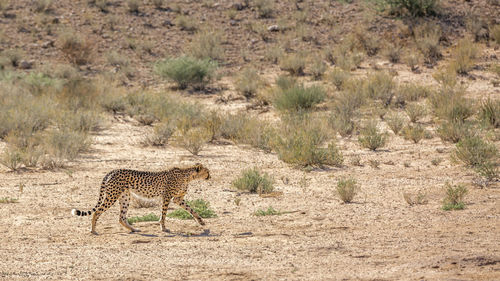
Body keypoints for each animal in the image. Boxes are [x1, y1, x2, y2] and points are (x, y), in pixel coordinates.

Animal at [71, 162, 210, 234]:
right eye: (207, 171)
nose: (210, 176)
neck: (187, 176)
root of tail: (113, 170)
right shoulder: (167, 197)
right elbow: (164, 214)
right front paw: (163, 228)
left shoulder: (177, 199)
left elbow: (191, 209)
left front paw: (201, 221)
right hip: (112, 196)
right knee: (97, 212)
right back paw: (93, 230)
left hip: (125, 197)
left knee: (121, 217)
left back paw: (133, 229)